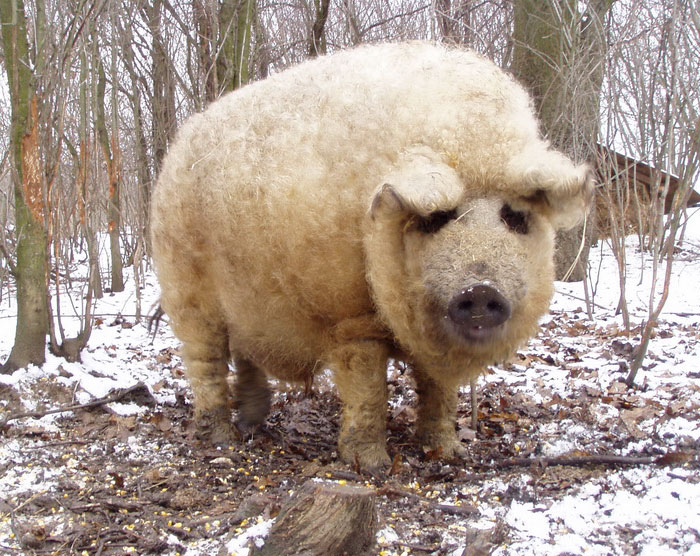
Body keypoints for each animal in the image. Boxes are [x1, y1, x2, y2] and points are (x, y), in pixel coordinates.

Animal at [150, 41, 592, 472]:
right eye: (436, 219)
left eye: (515, 217)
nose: (480, 288)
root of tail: (177, 147)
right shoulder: (350, 316)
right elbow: (369, 388)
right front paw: (372, 466)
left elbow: (439, 390)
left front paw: (448, 453)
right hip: (186, 289)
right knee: (205, 362)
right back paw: (220, 440)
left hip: (244, 302)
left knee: (244, 357)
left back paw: (253, 424)